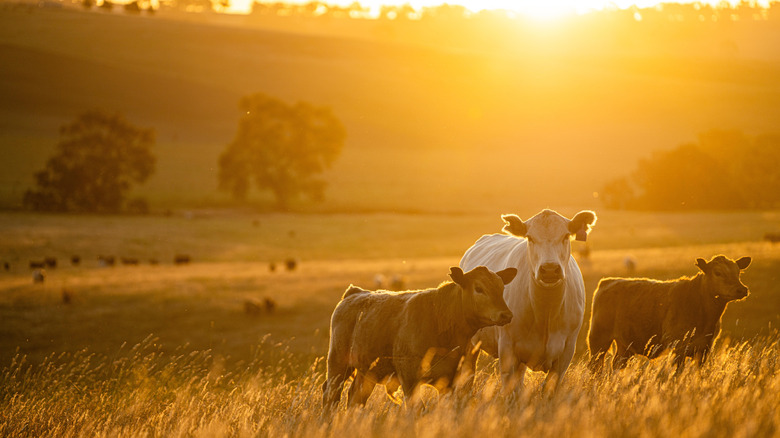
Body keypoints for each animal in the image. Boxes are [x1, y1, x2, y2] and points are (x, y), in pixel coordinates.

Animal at [322, 264, 516, 410]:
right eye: (478, 288)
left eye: (501, 288)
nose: (506, 315)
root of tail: (355, 292)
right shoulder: (409, 378)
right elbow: (417, 409)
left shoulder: (454, 381)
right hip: (338, 363)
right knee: (331, 394)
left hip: (367, 371)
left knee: (356, 397)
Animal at [460, 209, 596, 390]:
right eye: (530, 238)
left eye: (566, 236)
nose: (550, 269)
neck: (546, 311)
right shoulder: (508, 350)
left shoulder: (566, 353)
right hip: (470, 344)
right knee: (467, 375)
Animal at [592, 253, 748, 372]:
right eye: (718, 272)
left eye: (738, 272)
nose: (742, 289)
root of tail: (608, 281)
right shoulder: (678, 348)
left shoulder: (704, 349)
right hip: (598, 340)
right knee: (595, 366)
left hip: (625, 346)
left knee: (617, 364)